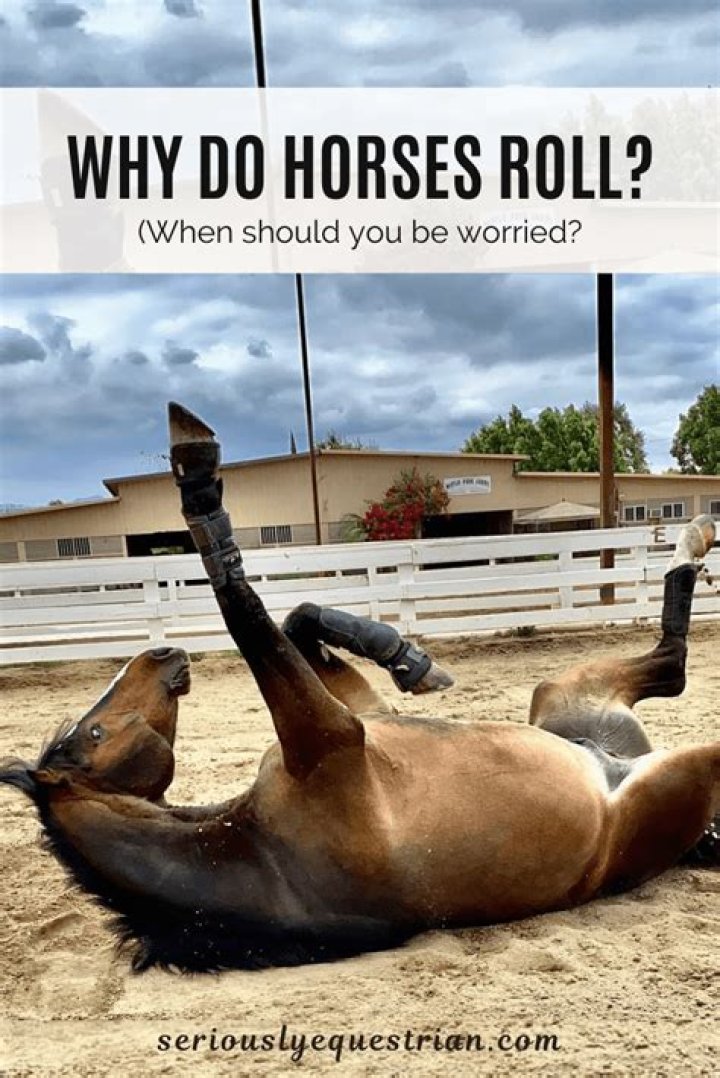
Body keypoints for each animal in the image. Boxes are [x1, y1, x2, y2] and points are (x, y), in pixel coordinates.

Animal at [1, 402, 718, 973]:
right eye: (94, 731)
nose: (161, 653)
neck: (258, 855)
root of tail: (613, 760)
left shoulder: (356, 720)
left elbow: (294, 619)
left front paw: (407, 658)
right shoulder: (333, 734)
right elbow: (246, 612)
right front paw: (199, 486)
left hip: (562, 692)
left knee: (671, 662)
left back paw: (693, 536)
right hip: (677, 761)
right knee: (677, 668)